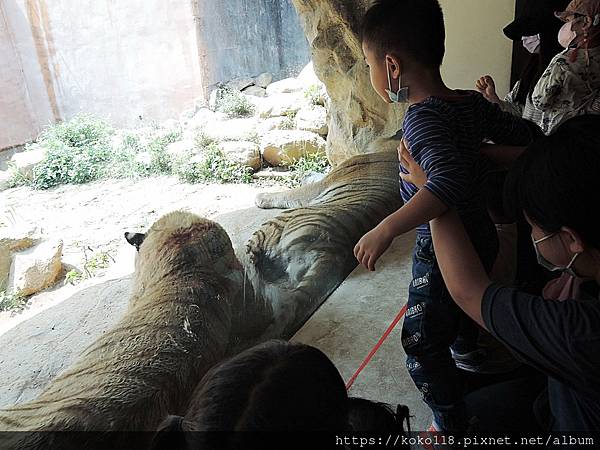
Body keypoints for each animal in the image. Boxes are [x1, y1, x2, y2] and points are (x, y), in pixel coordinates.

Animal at [244, 149, 404, 340]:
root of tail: (333, 251)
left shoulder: (320, 185)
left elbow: (291, 193)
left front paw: (262, 196)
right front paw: (306, 174)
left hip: (277, 222)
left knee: (250, 258)